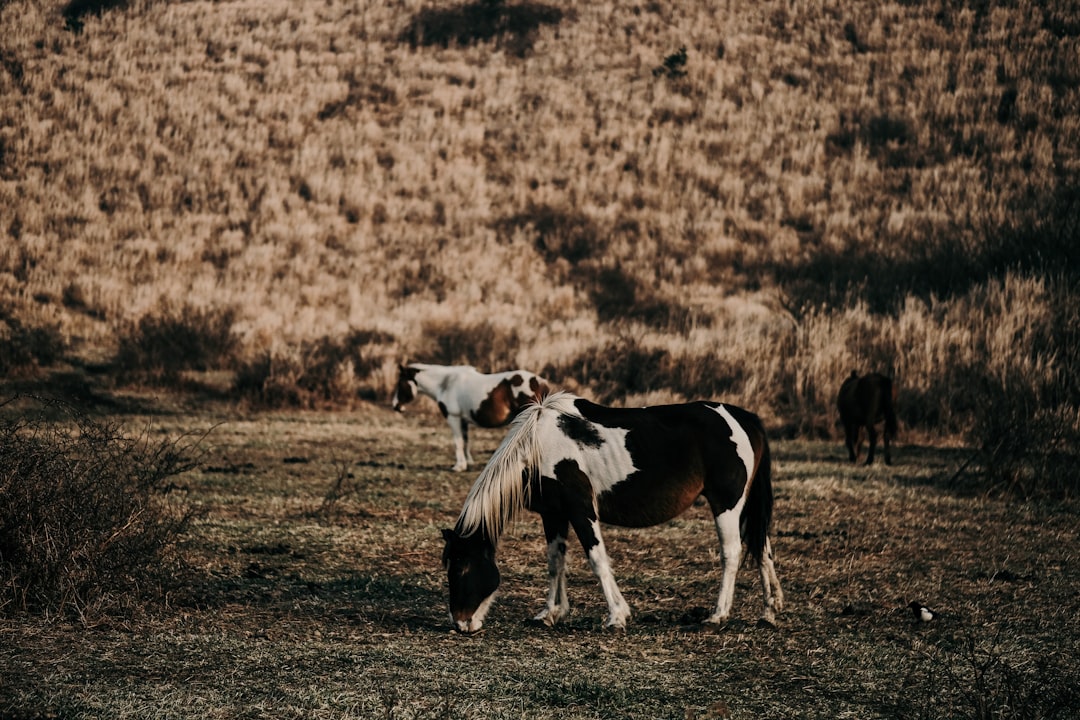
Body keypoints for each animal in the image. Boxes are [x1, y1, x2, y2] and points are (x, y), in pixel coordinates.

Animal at [393, 360, 552, 472]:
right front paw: (468, 462)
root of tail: (540, 382)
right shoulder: (463, 420)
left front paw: (459, 466)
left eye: (400, 383)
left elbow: (458, 442)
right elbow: (465, 441)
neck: (446, 383)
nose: (396, 406)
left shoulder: (454, 418)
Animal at [438, 390, 786, 634]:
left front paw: (617, 616)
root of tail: (744, 418)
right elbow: (555, 562)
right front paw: (550, 613)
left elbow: (597, 560)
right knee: (762, 549)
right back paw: (769, 612)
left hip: (726, 504)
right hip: (745, 506)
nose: (461, 624)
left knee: (731, 553)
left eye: (461, 569)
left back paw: (717, 616)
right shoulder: (553, 514)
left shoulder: (581, 510)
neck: (536, 446)